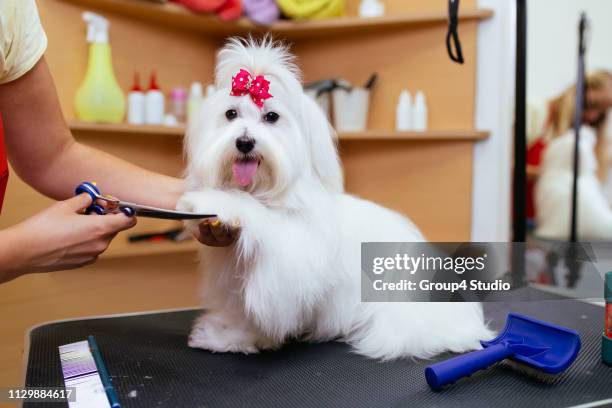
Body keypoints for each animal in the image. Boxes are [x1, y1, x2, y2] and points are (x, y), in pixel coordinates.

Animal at [177, 36, 492, 358]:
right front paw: (228, 337)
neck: (266, 192)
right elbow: (241, 312)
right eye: (230, 114)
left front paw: (214, 202)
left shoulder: (289, 261)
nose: (244, 142)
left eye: (271, 117)